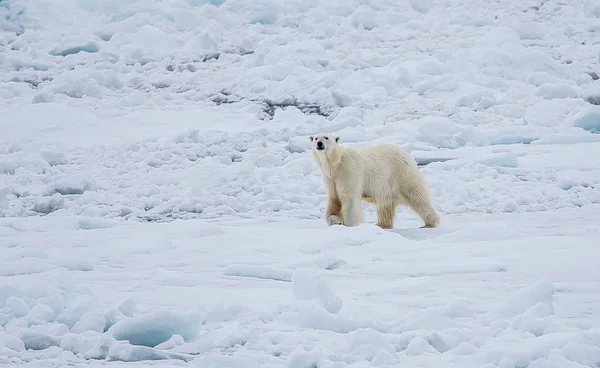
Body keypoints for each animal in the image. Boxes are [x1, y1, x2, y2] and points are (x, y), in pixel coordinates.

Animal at [310, 134, 440, 229]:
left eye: (326, 137)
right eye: (316, 138)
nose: (319, 143)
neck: (336, 163)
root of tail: (407, 155)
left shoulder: (348, 171)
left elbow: (349, 197)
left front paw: (350, 225)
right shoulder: (331, 178)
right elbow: (334, 199)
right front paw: (336, 221)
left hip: (401, 174)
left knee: (417, 196)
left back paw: (430, 223)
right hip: (387, 187)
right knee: (385, 205)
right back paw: (381, 224)